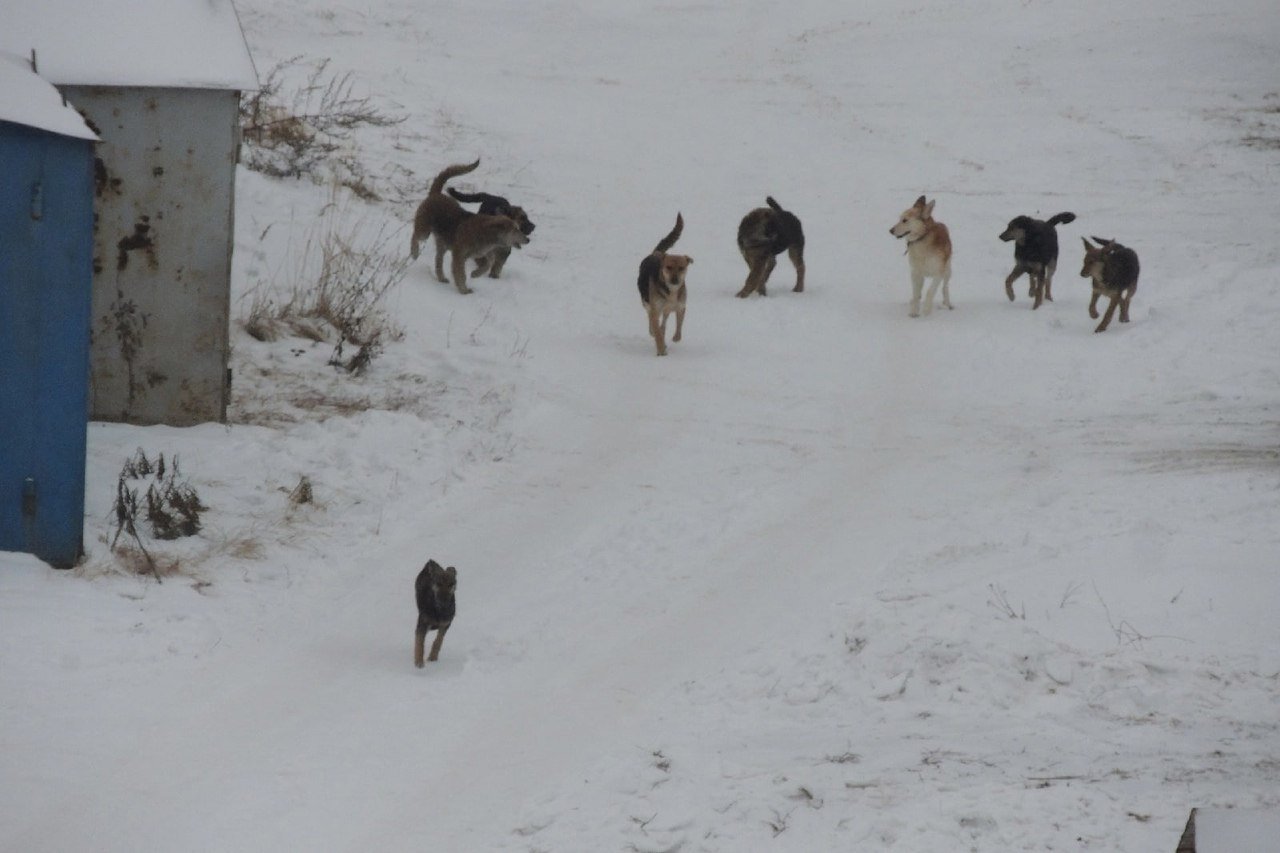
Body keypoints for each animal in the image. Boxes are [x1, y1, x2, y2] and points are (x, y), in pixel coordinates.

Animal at [632, 213, 691, 356]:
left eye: (681, 268)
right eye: (668, 267)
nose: (675, 280)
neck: (671, 291)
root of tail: (655, 253)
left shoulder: (680, 307)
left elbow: (679, 325)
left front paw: (675, 337)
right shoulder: (655, 309)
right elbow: (657, 332)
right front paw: (661, 350)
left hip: (665, 311)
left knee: (663, 323)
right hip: (647, 303)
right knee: (653, 323)